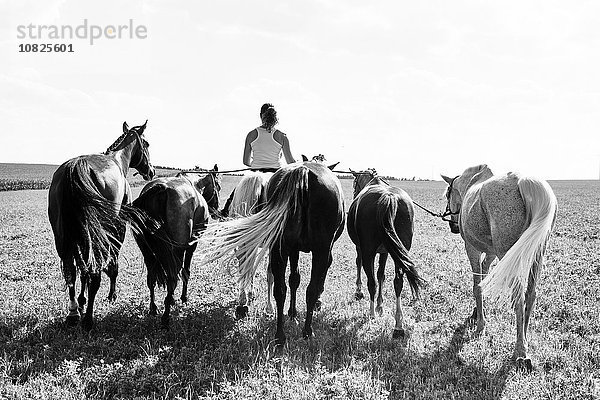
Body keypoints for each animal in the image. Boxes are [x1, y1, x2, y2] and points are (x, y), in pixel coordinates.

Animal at [48, 121, 156, 332]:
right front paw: (111, 295)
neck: (118, 161)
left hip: (64, 238)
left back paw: (74, 313)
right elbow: (112, 262)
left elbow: (82, 269)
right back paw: (88, 319)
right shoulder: (118, 226)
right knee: (95, 272)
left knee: (71, 271)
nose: (151, 171)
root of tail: (75, 167)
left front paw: (81, 300)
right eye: (147, 144)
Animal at [132, 166, 221, 328]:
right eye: (217, 186)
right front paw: (183, 298)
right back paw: (166, 318)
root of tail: (161, 189)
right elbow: (186, 272)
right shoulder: (192, 245)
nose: (217, 210)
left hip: (148, 252)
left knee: (152, 277)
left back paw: (153, 308)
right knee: (173, 278)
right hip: (177, 251)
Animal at [200, 161, 344, 346]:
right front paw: (294, 312)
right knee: (308, 289)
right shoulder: (316, 251)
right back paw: (306, 331)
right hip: (317, 249)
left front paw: (290, 312)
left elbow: (292, 279)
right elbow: (300, 280)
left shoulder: (290, 249)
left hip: (275, 246)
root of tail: (302, 171)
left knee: (273, 285)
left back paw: (273, 330)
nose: (213, 210)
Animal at [344, 168, 424, 338]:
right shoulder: (386, 252)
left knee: (372, 282)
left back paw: (371, 314)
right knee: (397, 281)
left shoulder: (361, 248)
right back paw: (398, 325)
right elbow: (381, 274)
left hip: (368, 251)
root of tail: (388, 197)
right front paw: (380, 305)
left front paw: (359, 291)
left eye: (354, 184)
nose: (354, 193)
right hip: (400, 251)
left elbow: (360, 264)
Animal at [440, 164, 556, 370]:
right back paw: (525, 339)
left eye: (448, 193)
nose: (453, 226)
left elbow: (477, 285)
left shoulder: (472, 249)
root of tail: (522, 180)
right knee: (530, 294)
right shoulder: (492, 252)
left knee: (518, 296)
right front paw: (478, 313)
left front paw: (480, 325)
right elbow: (483, 277)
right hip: (536, 255)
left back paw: (520, 351)